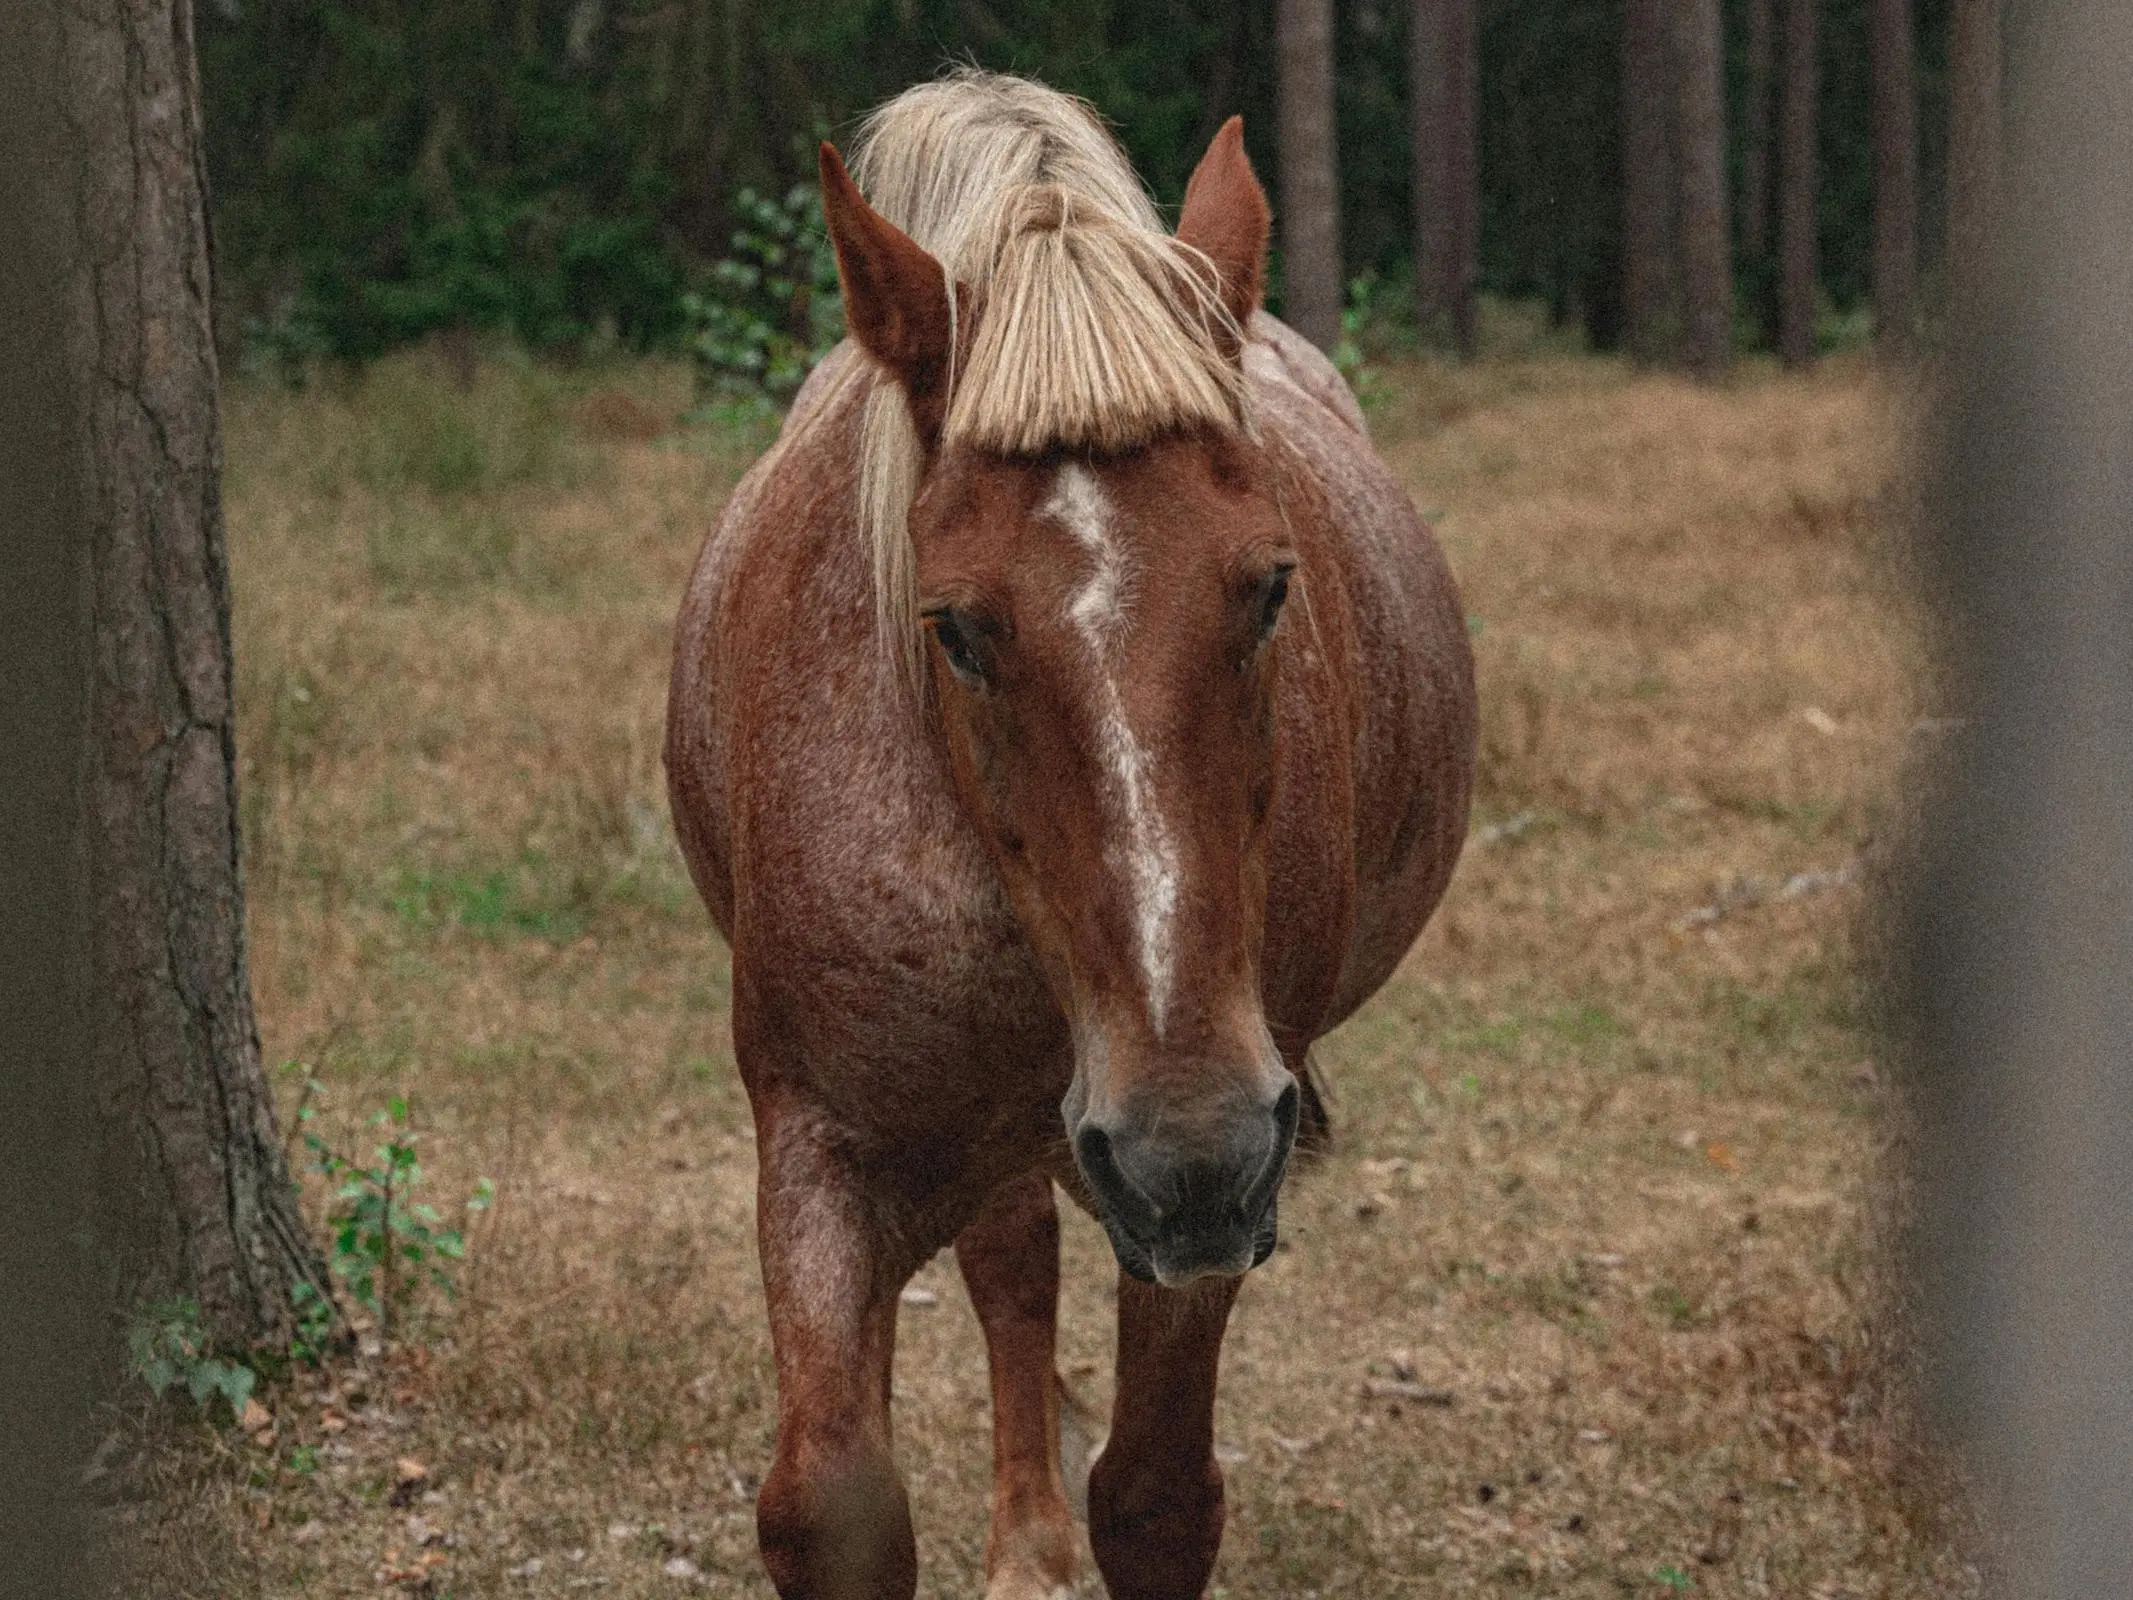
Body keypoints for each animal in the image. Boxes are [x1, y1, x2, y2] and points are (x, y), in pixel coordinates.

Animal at [665, 72, 1467, 1600]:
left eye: (1271, 586)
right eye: (958, 627)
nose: (1188, 1147)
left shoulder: (1211, 1176)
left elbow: (1155, 1497)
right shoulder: (817, 1142)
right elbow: (832, 1498)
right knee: (1015, 1262)